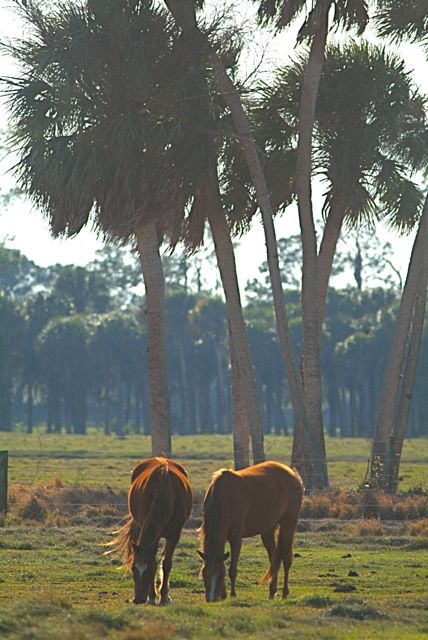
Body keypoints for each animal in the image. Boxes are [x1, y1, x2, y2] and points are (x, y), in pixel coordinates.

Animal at [107, 456, 192, 604]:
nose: (138, 599)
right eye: (133, 568)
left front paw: (163, 596)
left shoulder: (174, 535)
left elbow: (166, 563)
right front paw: (152, 596)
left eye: (150, 570)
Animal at [198, 458, 304, 604]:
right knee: (273, 559)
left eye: (219, 576)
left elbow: (232, 569)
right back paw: (271, 592)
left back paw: (284, 593)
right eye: (204, 574)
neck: (225, 497)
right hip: (268, 529)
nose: (211, 599)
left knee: (287, 559)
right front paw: (224, 595)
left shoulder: (236, 537)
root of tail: (293, 474)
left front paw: (232, 595)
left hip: (289, 524)